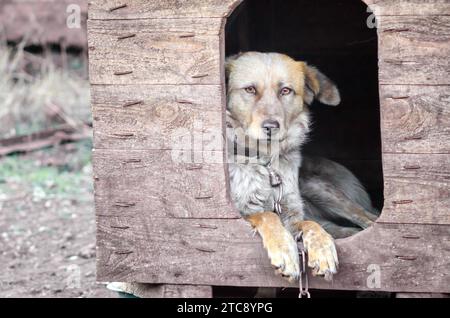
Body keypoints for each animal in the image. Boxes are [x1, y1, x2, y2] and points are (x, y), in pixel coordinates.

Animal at [227, 51, 378, 282]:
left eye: (286, 90)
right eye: (250, 89)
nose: (271, 126)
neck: (266, 163)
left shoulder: (293, 212)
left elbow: (310, 225)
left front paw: (323, 251)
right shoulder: (243, 212)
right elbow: (268, 215)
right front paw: (284, 250)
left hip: (319, 188)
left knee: (366, 218)